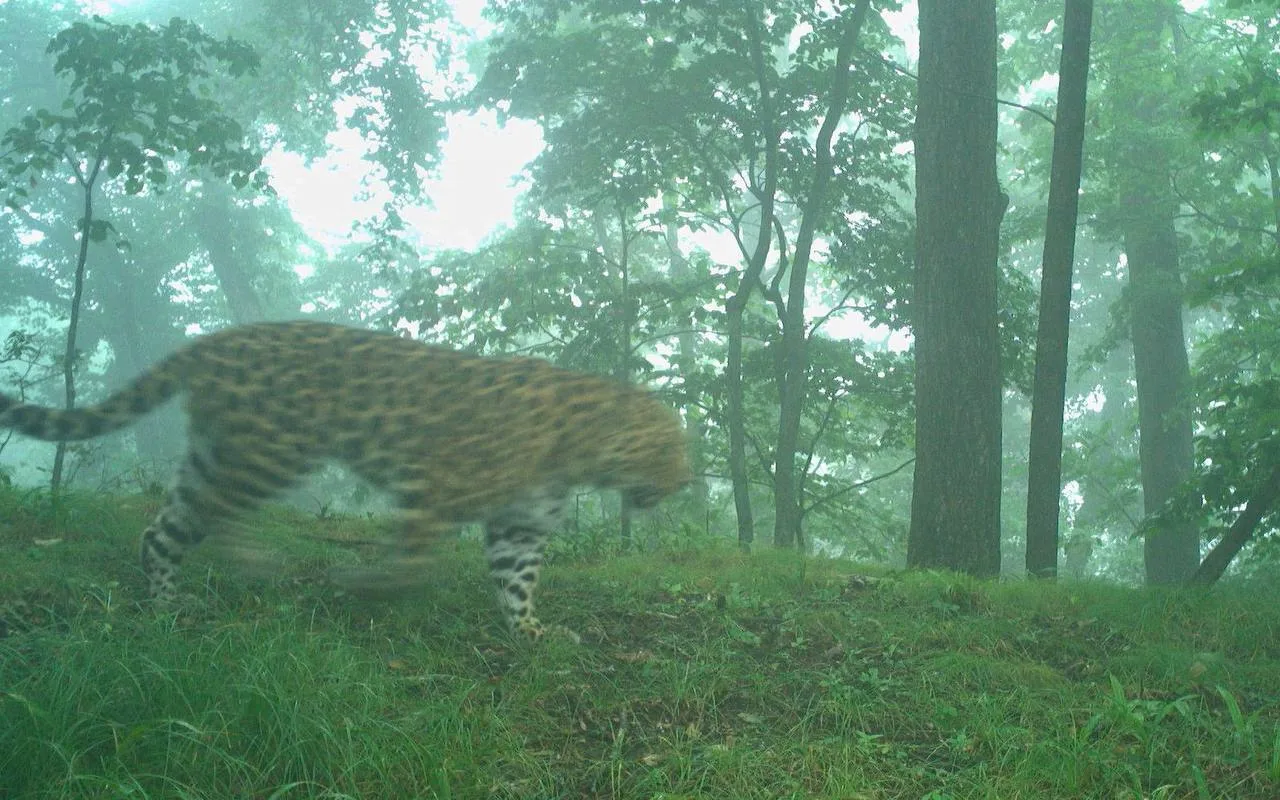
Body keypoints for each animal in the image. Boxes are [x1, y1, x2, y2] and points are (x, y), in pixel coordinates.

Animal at [0, 320, 691, 640]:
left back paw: (169, 602)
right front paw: (368, 587)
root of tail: (220, 336)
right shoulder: (432, 489)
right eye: (671, 450)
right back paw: (254, 564)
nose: (685, 483)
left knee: (165, 529)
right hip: (270, 451)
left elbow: (516, 585)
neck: (580, 449)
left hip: (214, 453)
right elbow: (410, 562)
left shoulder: (517, 527)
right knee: (221, 514)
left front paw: (532, 635)